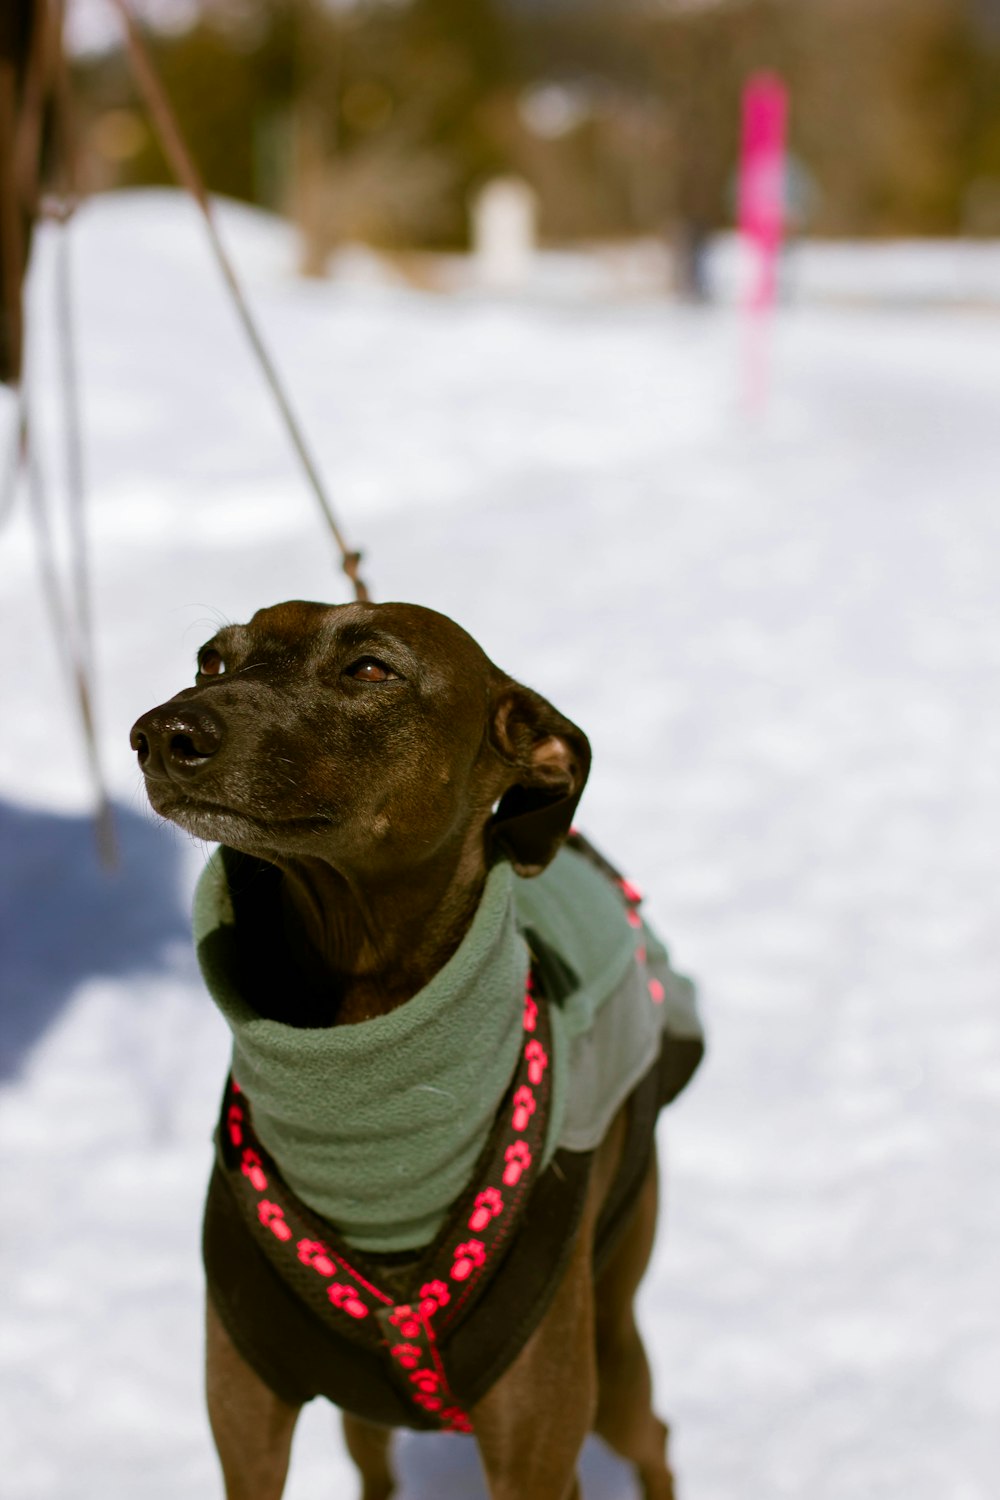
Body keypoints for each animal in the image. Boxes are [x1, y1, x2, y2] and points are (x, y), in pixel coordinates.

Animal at [131, 600, 680, 1500]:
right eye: (212, 658)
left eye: (371, 669)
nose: (162, 732)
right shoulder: (247, 1415)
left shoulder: (535, 1451)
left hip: (611, 1327)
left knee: (652, 1433)